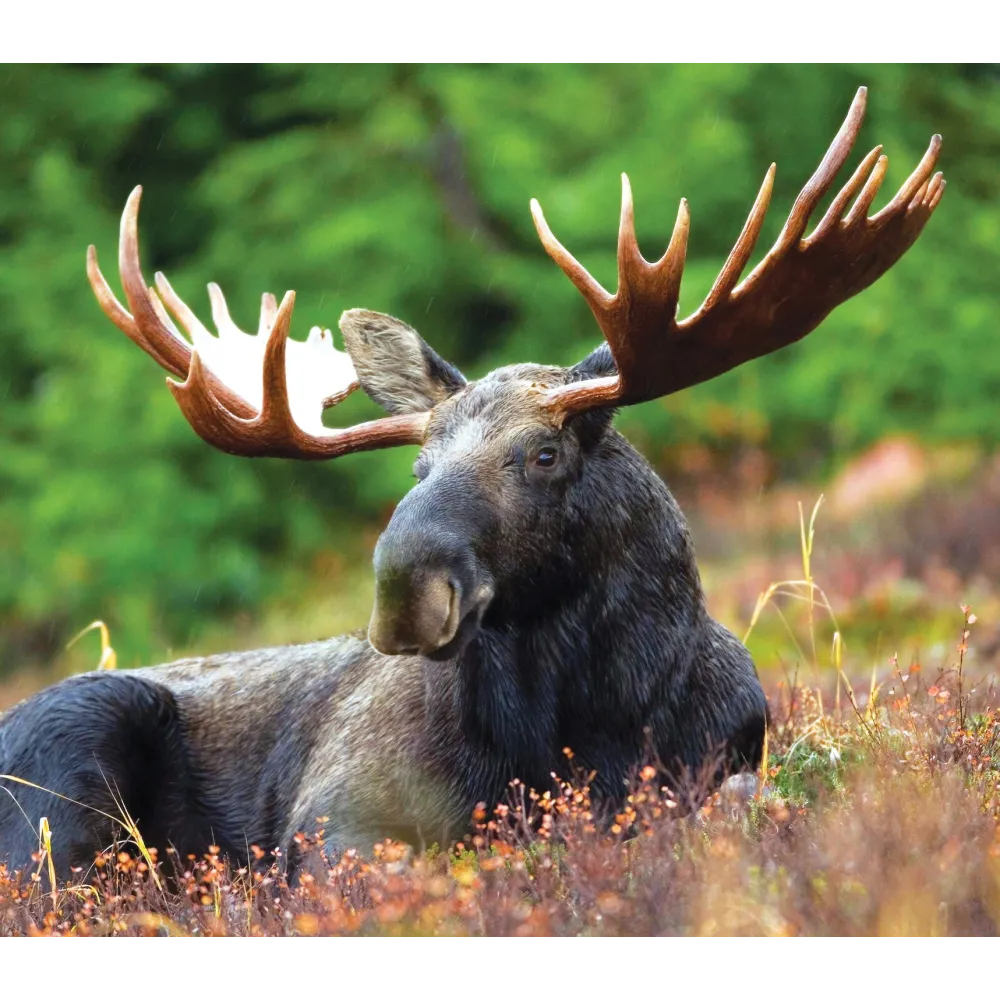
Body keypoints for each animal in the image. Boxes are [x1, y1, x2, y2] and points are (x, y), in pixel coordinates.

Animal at [0, 88, 944, 879]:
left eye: (544, 454)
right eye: (420, 465)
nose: (404, 591)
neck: (581, 728)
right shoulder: (333, 818)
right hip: (69, 760)